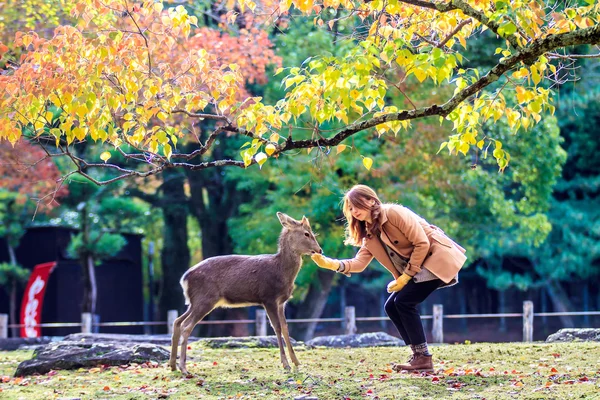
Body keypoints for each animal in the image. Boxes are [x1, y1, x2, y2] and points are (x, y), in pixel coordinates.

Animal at [169, 212, 324, 376]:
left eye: (313, 233)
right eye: (306, 233)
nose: (320, 250)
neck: (281, 272)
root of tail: (184, 278)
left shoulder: (282, 302)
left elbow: (286, 327)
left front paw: (297, 362)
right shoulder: (268, 297)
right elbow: (277, 327)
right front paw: (286, 364)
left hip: (195, 302)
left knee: (177, 321)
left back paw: (172, 365)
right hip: (205, 299)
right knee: (186, 326)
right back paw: (184, 368)